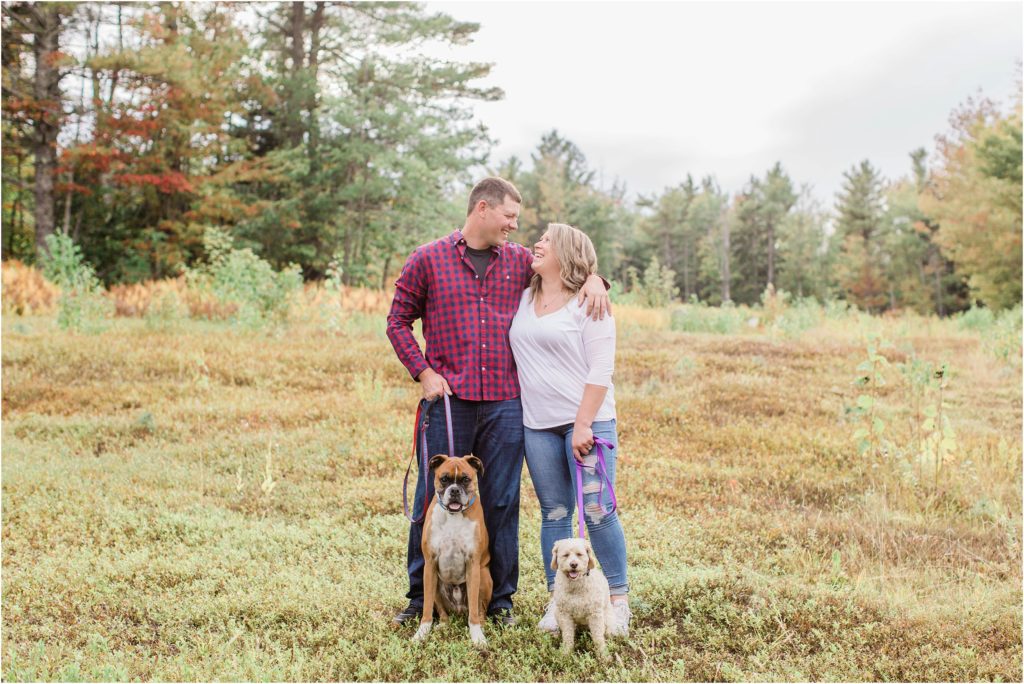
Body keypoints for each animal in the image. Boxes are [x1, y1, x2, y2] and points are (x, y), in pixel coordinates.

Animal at [413, 454, 497, 647]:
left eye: (466, 479)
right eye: (444, 479)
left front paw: (477, 636)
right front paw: (421, 633)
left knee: (479, 610)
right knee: (443, 613)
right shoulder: (430, 564)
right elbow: (427, 607)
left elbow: (474, 609)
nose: (455, 491)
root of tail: (458, 610)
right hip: (434, 581)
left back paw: (482, 625)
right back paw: (442, 625)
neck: (453, 515)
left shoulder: (473, 564)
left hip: (484, 577)